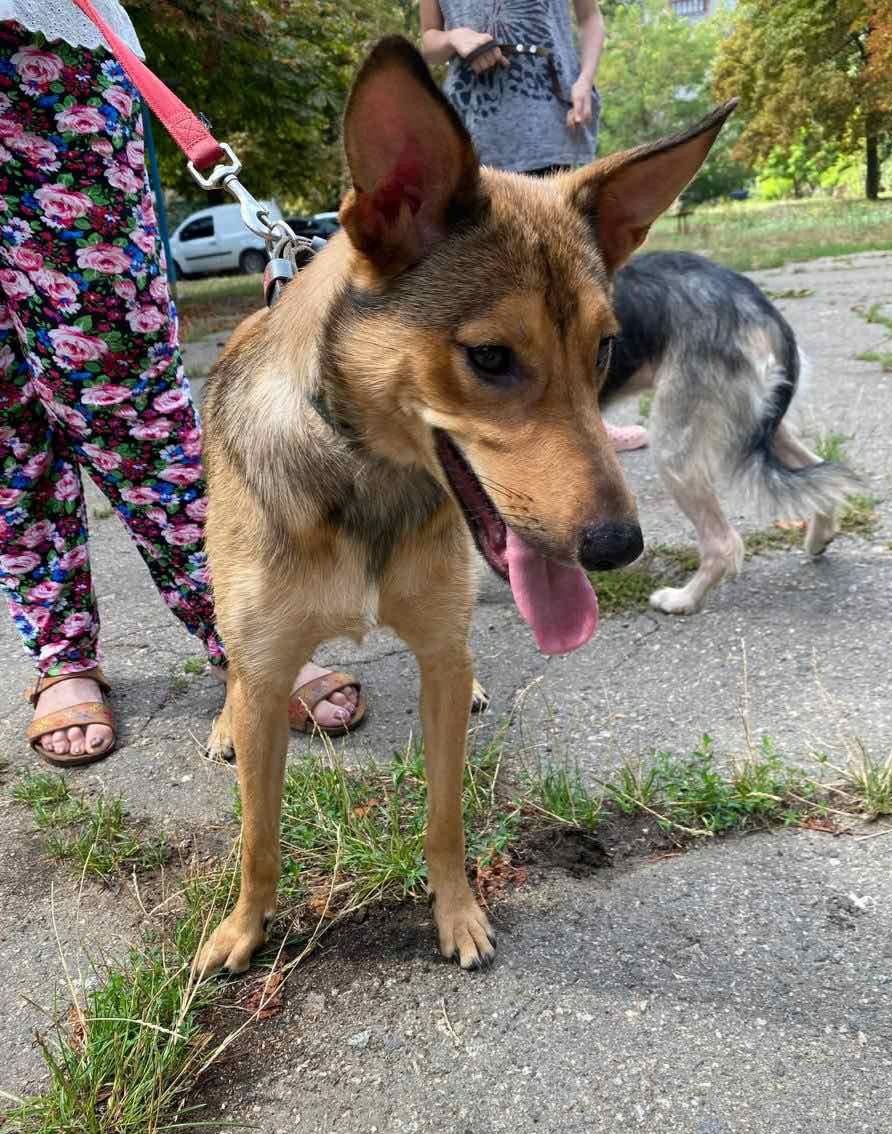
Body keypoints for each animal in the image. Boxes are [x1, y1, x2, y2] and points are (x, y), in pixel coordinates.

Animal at [193, 37, 734, 975]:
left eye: (604, 349)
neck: (368, 482)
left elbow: (444, 817)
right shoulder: (266, 670)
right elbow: (259, 836)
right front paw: (243, 928)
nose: (618, 547)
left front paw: (456, 912)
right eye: (489, 357)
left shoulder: (440, 661)